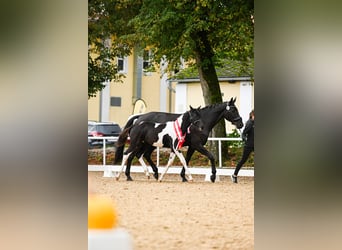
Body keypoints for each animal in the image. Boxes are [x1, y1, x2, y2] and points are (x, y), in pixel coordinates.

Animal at [115, 97, 243, 182]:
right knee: (131, 155)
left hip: (148, 144)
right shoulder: (197, 145)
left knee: (141, 155)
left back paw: (153, 173)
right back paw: (129, 176)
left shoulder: (190, 146)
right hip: (141, 143)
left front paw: (183, 176)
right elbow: (211, 157)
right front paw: (212, 176)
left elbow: (186, 159)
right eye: (233, 110)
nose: (241, 124)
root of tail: (139, 117)